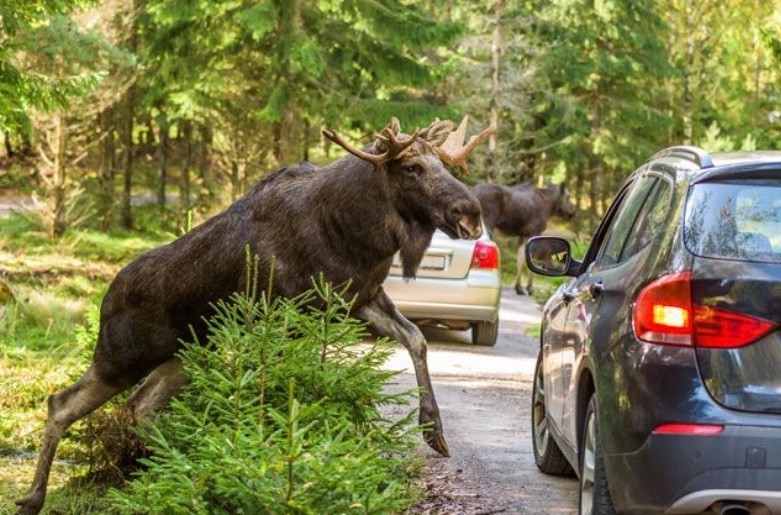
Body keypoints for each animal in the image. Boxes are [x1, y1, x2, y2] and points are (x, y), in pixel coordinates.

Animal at [16, 117, 494, 515]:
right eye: (411, 167)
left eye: (446, 165)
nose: (471, 213)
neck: (356, 234)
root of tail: (104, 300)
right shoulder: (288, 312)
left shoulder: (360, 299)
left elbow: (416, 339)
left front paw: (433, 428)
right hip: (122, 357)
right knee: (63, 403)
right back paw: (36, 497)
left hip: (183, 356)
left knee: (141, 405)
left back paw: (187, 464)